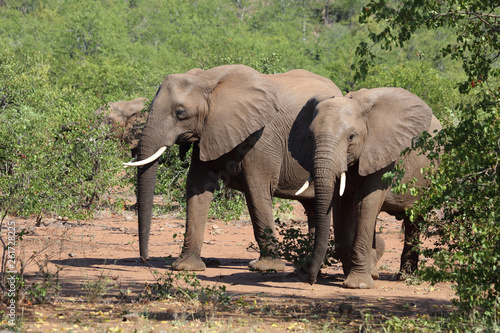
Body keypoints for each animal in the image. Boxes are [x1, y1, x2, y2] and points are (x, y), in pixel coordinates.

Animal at [125, 63, 344, 272]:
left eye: (180, 113)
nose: (145, 259)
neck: (208, 79)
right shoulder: (209, 131)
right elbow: (197, 187)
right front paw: (185, 267)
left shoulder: (262, 138)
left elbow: (257, 191)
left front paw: (266, 267)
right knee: (313, 208)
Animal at [294, 88, 444, 288]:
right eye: (310, 137)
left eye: (351, 137)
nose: (310, 280)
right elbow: (342, 205)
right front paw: (352, 275)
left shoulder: (384, 152)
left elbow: (365, 203)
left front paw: (357, 285)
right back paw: (375, 273)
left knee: (414, 219)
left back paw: (405, 277)